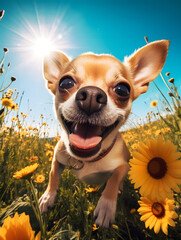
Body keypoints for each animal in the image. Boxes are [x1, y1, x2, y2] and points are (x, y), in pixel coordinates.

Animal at [38, 40, 170, 228]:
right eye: (65, 83)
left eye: (122, 89)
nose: (91, 95)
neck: (88, 160)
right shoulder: (58, 158)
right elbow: (53, 175)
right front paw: (48, 197)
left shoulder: (124, 166)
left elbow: (113, 180)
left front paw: (106, 206)